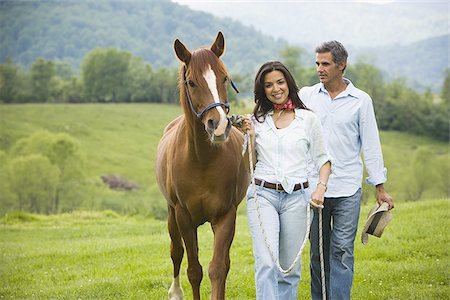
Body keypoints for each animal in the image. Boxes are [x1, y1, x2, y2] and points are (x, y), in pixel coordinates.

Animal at [156, 31, 250, 298]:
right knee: (176, 252)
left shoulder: (226, 216)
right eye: (191, 82)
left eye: (224, 78)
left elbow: (217, 268)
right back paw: (175, 291)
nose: (218, 126)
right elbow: (193, 270)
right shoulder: (184, 217)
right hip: (171, 215)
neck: (202, 161)